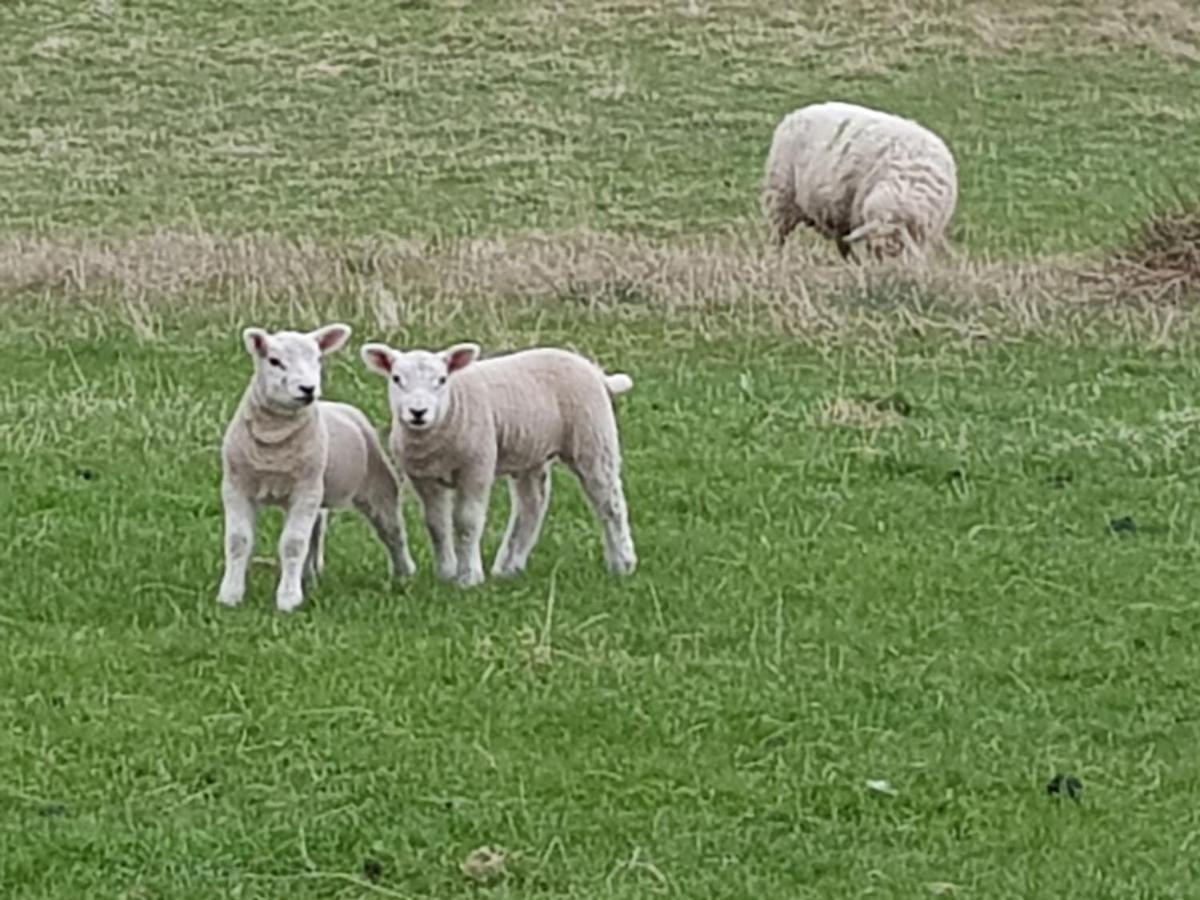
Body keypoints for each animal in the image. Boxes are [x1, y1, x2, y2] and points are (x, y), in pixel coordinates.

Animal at [218, 321, 420, 614]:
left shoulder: (305, 490)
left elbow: (293, 544)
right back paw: (309, 576)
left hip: (376, 485)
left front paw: (288, 599)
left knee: (392, 530)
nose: (308, 389)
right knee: (316, 530)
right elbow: (237, 541)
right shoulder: (236, 487)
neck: (273, 445)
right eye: (274, 361)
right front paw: (230, 594)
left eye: (317, 359)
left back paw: (404, 573)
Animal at [357, 340, 633, 588]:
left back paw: (623, 564)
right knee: (531, 505)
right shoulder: (423, 477)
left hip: (593, 437)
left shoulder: (477, 467)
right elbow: (436, 524)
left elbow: (467, 521)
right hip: (530, 453)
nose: (418, 412)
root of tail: (595, 371)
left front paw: (468, 577)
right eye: (396, 378)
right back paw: (509, 567)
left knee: (610, 502)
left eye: (442, 380)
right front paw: (445, 573)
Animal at [763, 103, 960, 264]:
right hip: (781, 196)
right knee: (777, 237)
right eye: (876, 252)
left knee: (842, 244)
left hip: (838, 214)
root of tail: (795, 114)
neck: (906, 185)